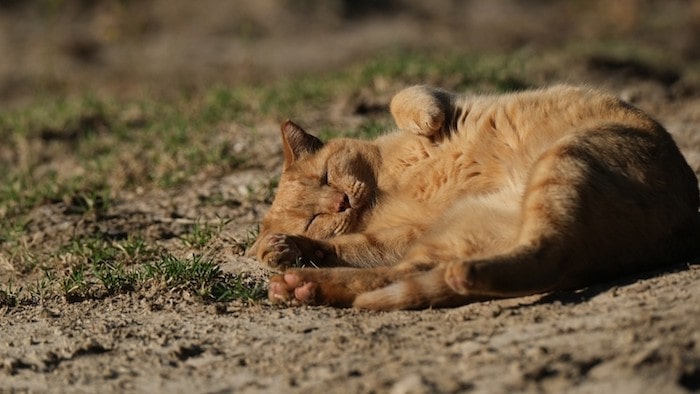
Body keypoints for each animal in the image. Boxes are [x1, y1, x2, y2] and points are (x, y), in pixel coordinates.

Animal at [252, 84, 700, 310]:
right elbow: (349, 247)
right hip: (478, 221)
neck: (386, 186)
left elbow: (406, 97)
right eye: (312, 219)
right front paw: (286, 248)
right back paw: (301, 286)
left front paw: (426, 120)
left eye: (326, 177)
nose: (341, 203)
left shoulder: (449, 99)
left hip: (565, 161)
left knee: (547, 252)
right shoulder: (403, 235)